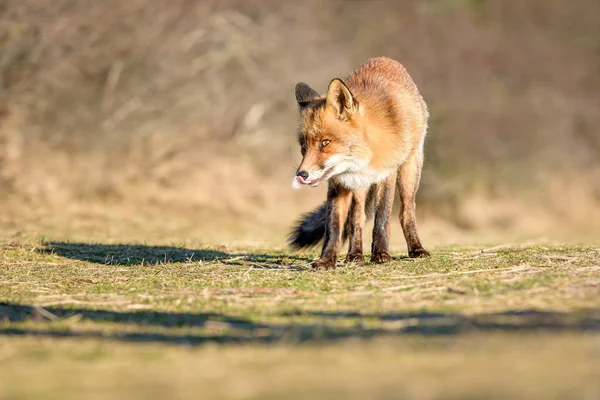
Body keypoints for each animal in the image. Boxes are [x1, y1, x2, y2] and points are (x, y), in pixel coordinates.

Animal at [288, 56, 428, 270]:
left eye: (325, 142)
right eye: (304, 146)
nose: (301, 175)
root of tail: (386, 59)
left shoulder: (386, 175)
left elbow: (382, 220)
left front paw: (381, 254)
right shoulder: (338, 183)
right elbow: (334, 226)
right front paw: (327, 259)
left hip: (408, 173)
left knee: (406, 212)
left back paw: (416, 248)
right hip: (359, 187)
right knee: (357, 218)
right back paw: (355, 254)